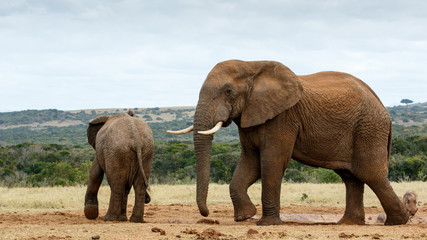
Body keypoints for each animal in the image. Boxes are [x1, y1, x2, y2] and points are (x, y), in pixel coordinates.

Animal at [169, 59, 410, 225]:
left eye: (228, 91)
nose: (207, 213)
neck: (252, 65)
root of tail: (383, 108)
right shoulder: (250, 116)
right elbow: (250, 163)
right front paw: (245, 217)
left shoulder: (282, 118)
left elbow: (271, 162)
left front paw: (266, 224)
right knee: (351, 176)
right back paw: (348, 224)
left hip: (368, 128)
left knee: (369, 173)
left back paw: (398, 221)